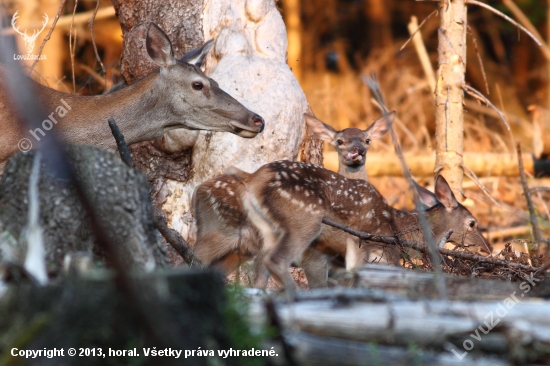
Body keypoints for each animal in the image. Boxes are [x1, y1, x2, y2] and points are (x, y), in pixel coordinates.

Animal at [192, 113, 394, 288]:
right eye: (339, 141)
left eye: (367, 140)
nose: (357, 151)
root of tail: (198, 190)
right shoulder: (313, 256)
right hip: (217, 231)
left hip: (241, 249)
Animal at [226, 162, 494, 290]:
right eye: (472, 223)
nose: (488, 249)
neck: (397, 225)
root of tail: (253, 178)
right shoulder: (365, 243)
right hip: (305, 219)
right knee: (275, 261)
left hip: (268, 229)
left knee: (258, 271)